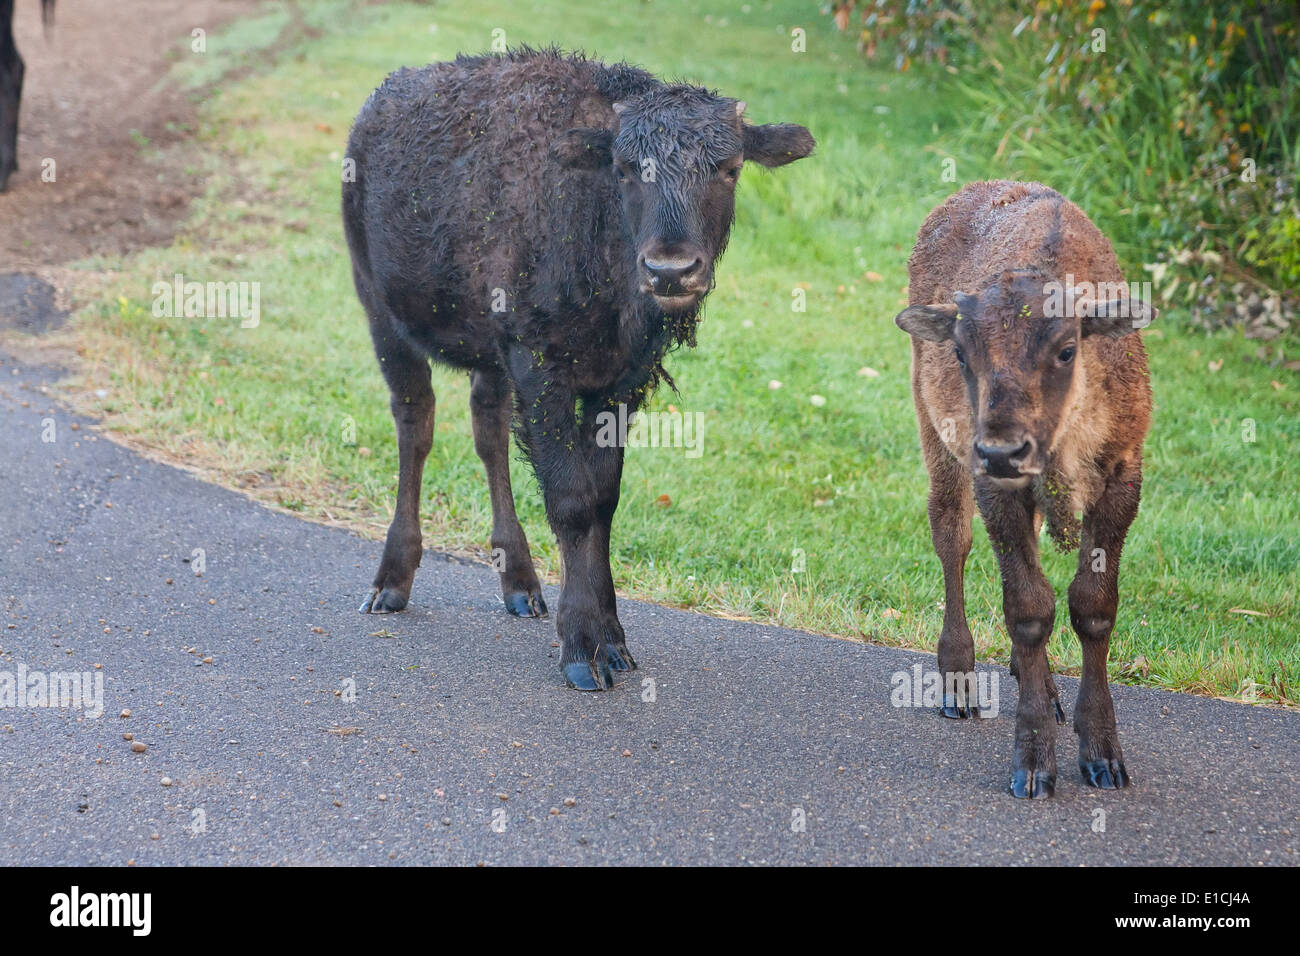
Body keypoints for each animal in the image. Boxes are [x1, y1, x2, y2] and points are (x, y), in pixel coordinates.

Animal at [343, 48, 811, 686]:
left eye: (730, 168)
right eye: (624, 168)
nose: (671, 270)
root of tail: (379, 103)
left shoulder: (618, 384)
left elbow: (603, 501)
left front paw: (612, 641)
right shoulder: (540, 368)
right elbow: (571, 501)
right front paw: (580, 651)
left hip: (489, 359)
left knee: (487, 429)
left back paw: (520, 585)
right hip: (384, 319)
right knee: (416, 427)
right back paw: (391, 583)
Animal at [894, 179, 1159, 801]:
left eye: (1066, 349)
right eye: (961, 352)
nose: (1001, 452)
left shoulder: (1120, 482)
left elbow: (1093, 607)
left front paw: (1103, 756)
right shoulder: (995, 488)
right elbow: (1030, 608)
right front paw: (1035, 763)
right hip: (937, 440)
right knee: (952, 538)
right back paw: (958, 684)